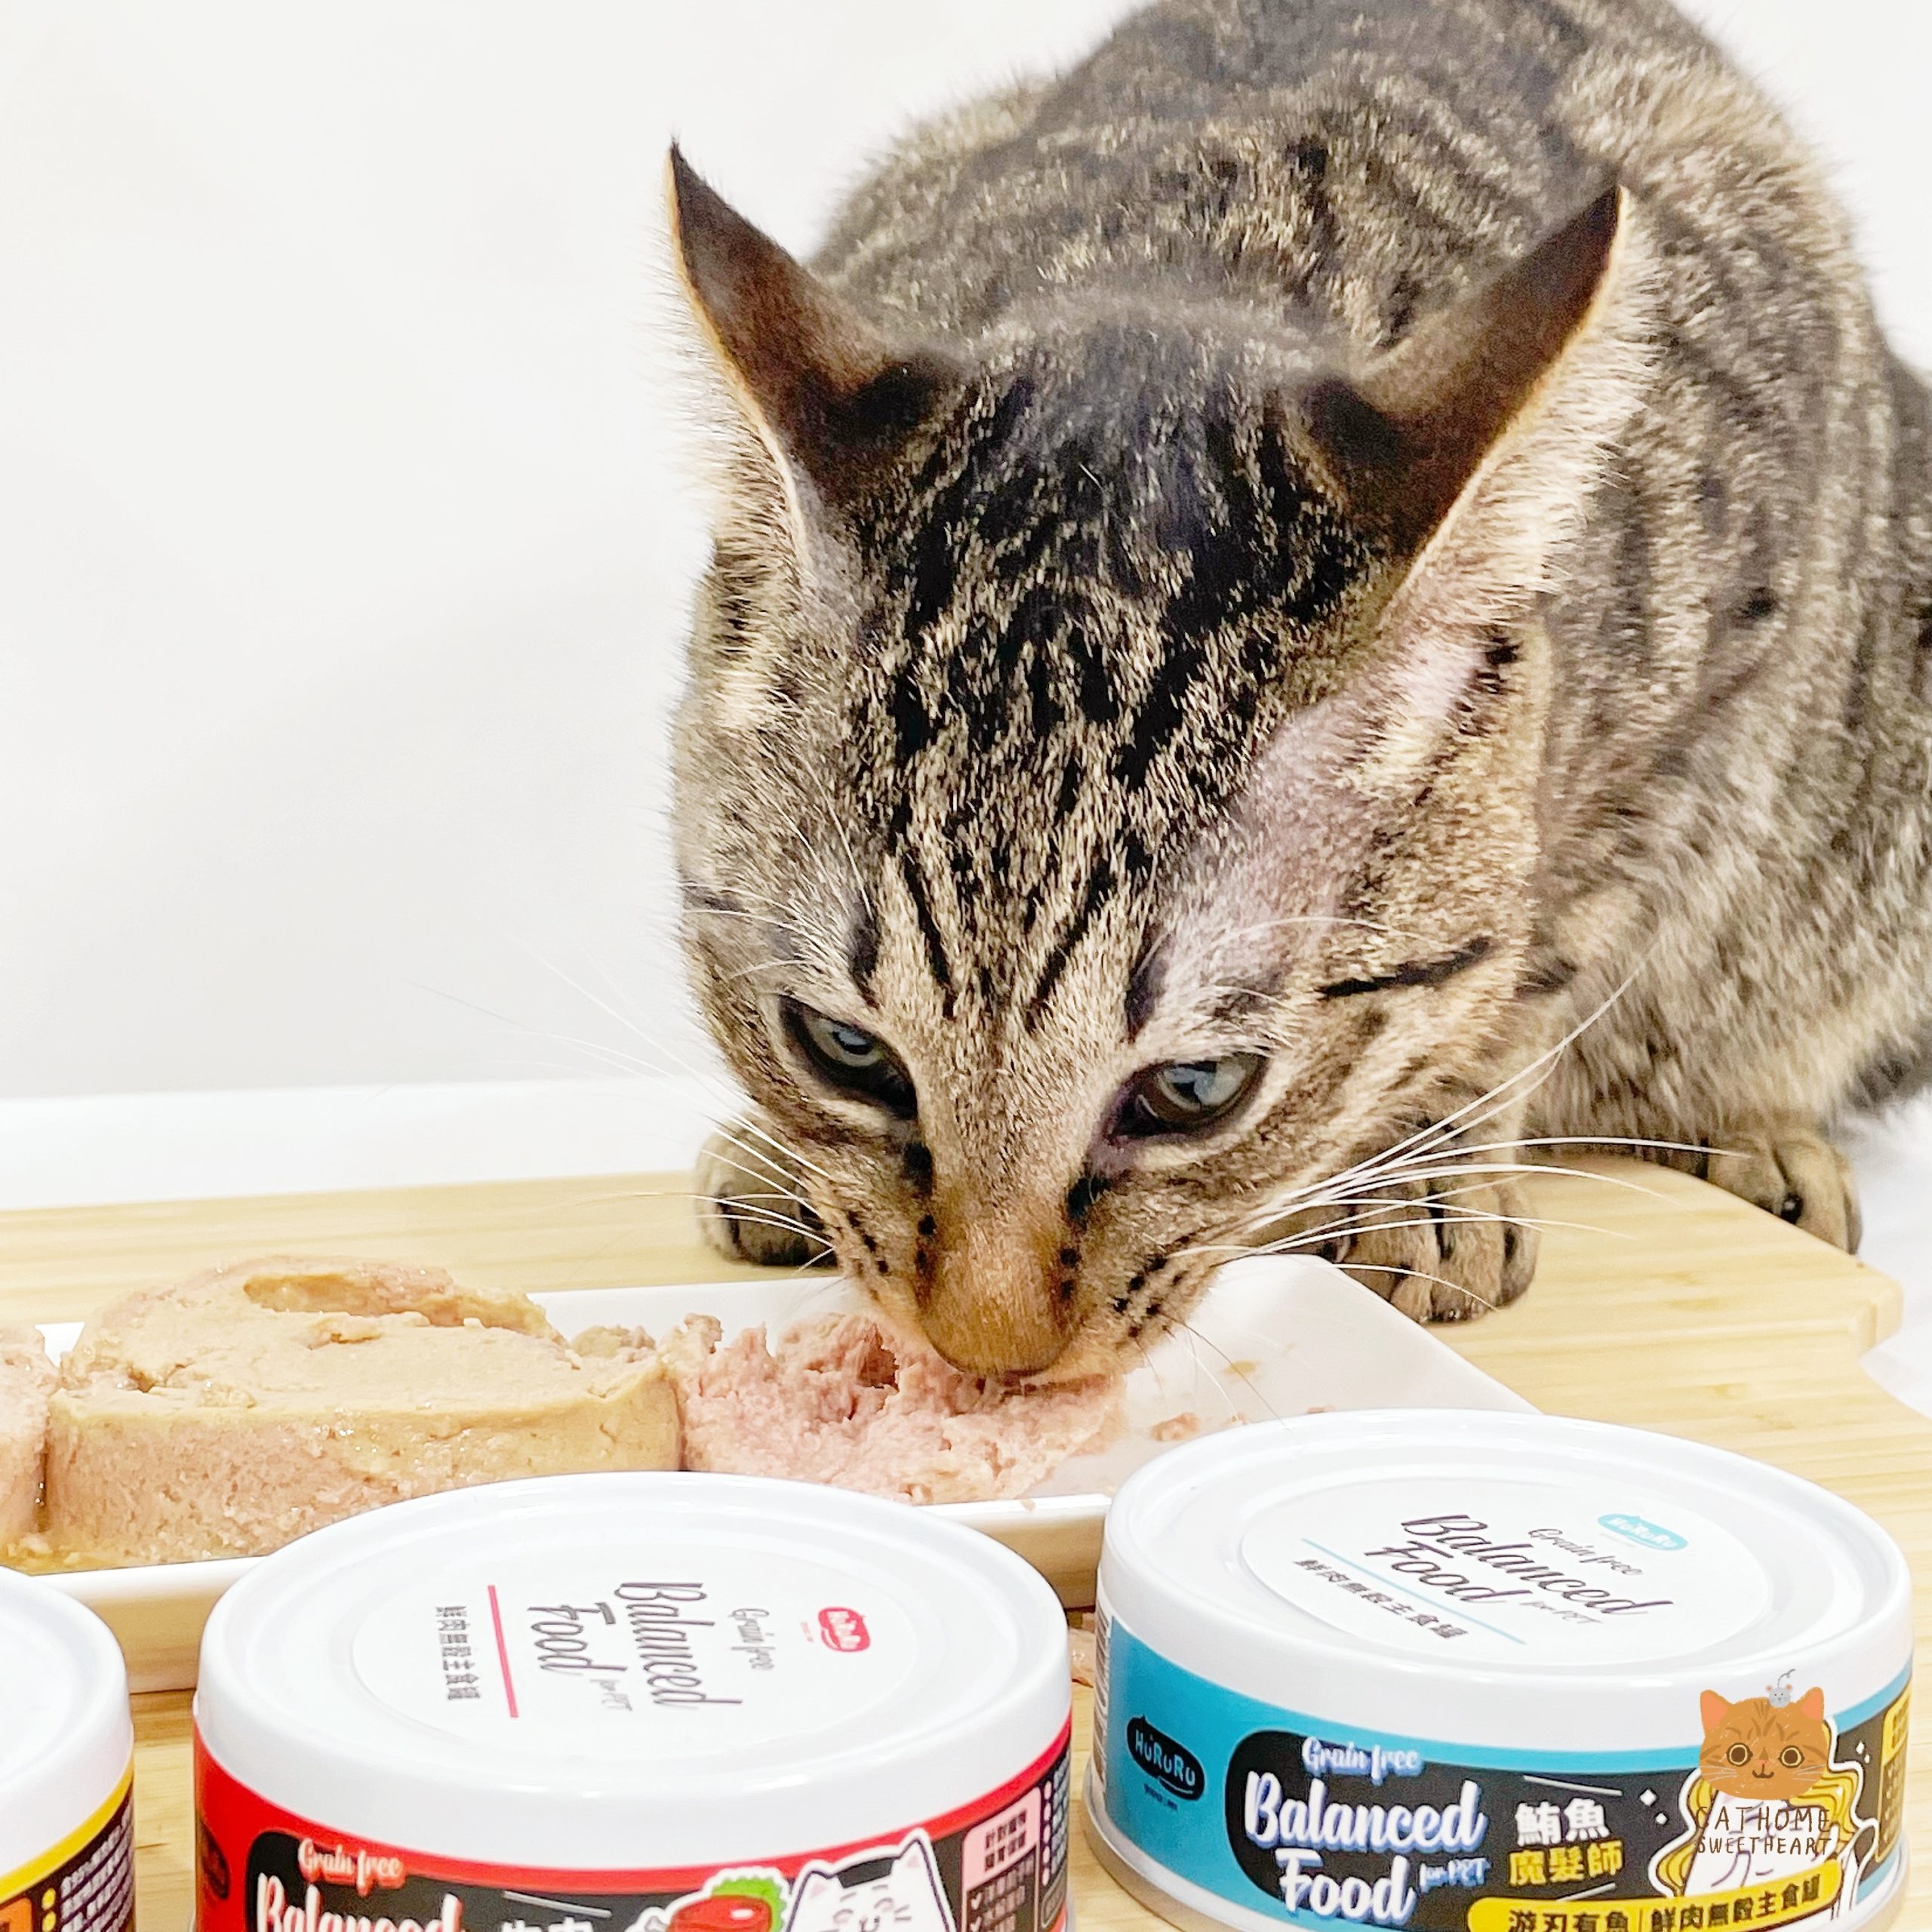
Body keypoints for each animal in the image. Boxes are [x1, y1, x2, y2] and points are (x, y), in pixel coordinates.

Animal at [667, 0, 1932, 1376]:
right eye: (845, 1048)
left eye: (1195, 1091)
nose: (989, 1350)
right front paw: (786, 1154)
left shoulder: (1701, 718)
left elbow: (1531, 968)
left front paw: (1426, 1169)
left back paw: (1761, 1135)